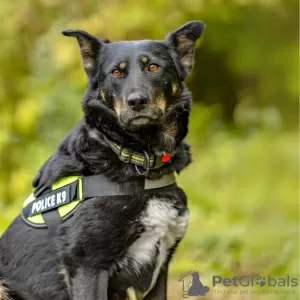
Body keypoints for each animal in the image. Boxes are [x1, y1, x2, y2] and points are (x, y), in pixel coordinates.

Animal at [0, 21, 204, 300]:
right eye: (116, 73)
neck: (136, 158)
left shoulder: (159, 271)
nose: (136, 102)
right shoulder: (88, 265)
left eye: (153, 67)